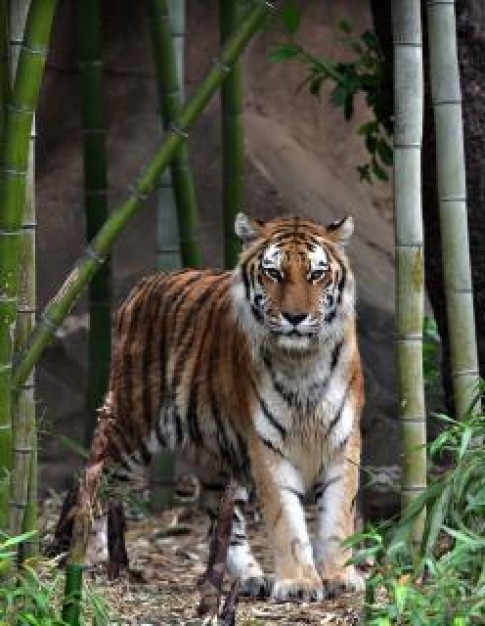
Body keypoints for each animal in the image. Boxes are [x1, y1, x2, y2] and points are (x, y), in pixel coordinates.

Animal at [78, 213, 364, 600]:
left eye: (316, 274)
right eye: (274, 273)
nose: (295, 317)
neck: (302, 361)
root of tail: (145, 284)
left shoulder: (342, 440)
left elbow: (337, 515)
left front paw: (339, 576)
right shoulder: (266, 445)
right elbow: (286, 519)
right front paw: (299, 583)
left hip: (219, 454)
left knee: (223, 517)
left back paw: (250, 577)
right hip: (130, 426)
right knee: (96, 480)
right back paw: (83, 557)